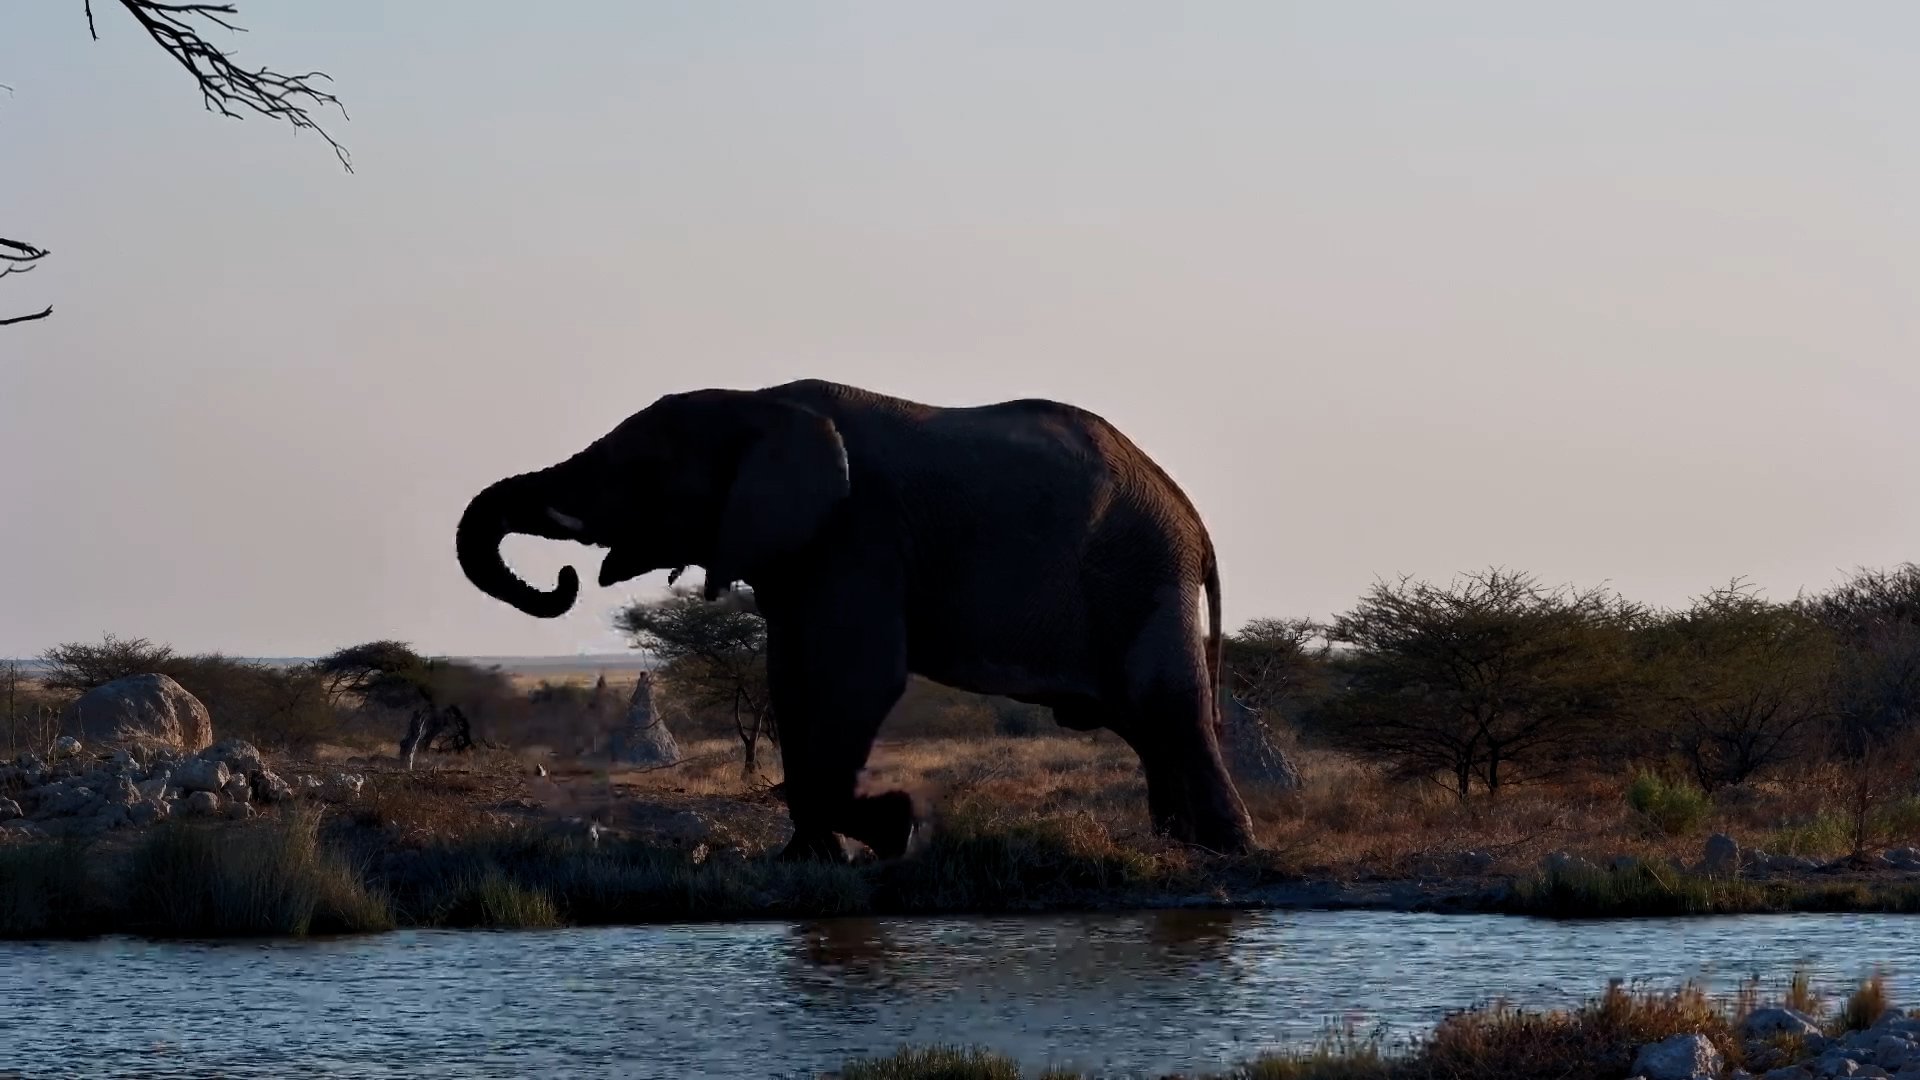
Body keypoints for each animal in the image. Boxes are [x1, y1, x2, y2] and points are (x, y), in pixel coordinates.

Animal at [456, 379, 1255, 857]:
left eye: (640, 475)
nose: (564, 578)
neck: (756, 402)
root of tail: (1193, 517)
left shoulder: (859, 533)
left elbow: (857, 679)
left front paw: (896, 825)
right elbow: (790, 679)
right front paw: (807, 863)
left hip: (1142, 570)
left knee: (1168, 708)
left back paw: (1228, 852)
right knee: (1144, 722)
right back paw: (1176, 848)